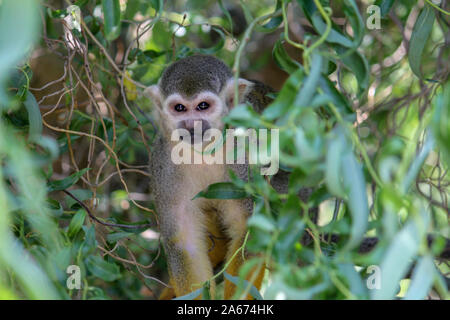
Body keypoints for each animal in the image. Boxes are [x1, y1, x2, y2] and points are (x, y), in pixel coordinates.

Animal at [146, 55, 274, 300]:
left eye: (203, 106)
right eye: (179, 108)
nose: (191, 125)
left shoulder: (242, 153)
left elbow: (250, 230)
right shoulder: (163, 161)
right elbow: (184, 241)